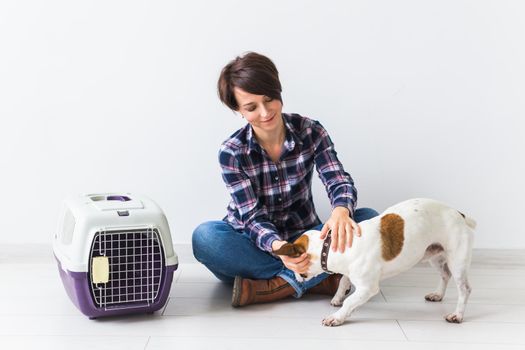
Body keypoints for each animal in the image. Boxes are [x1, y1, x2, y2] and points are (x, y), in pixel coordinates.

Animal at [274, 198, 474, 326]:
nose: (294, 276)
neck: (328, 246)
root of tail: (459, 213)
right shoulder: (350, 271)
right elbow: (344, 281)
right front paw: (338, 297)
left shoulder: (367, 288)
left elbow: (350, 301)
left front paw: (337, 317)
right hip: (435, 256)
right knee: (445, 275)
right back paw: (438, 295)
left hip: (457, 260)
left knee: (464, 289)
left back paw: (457, 315)